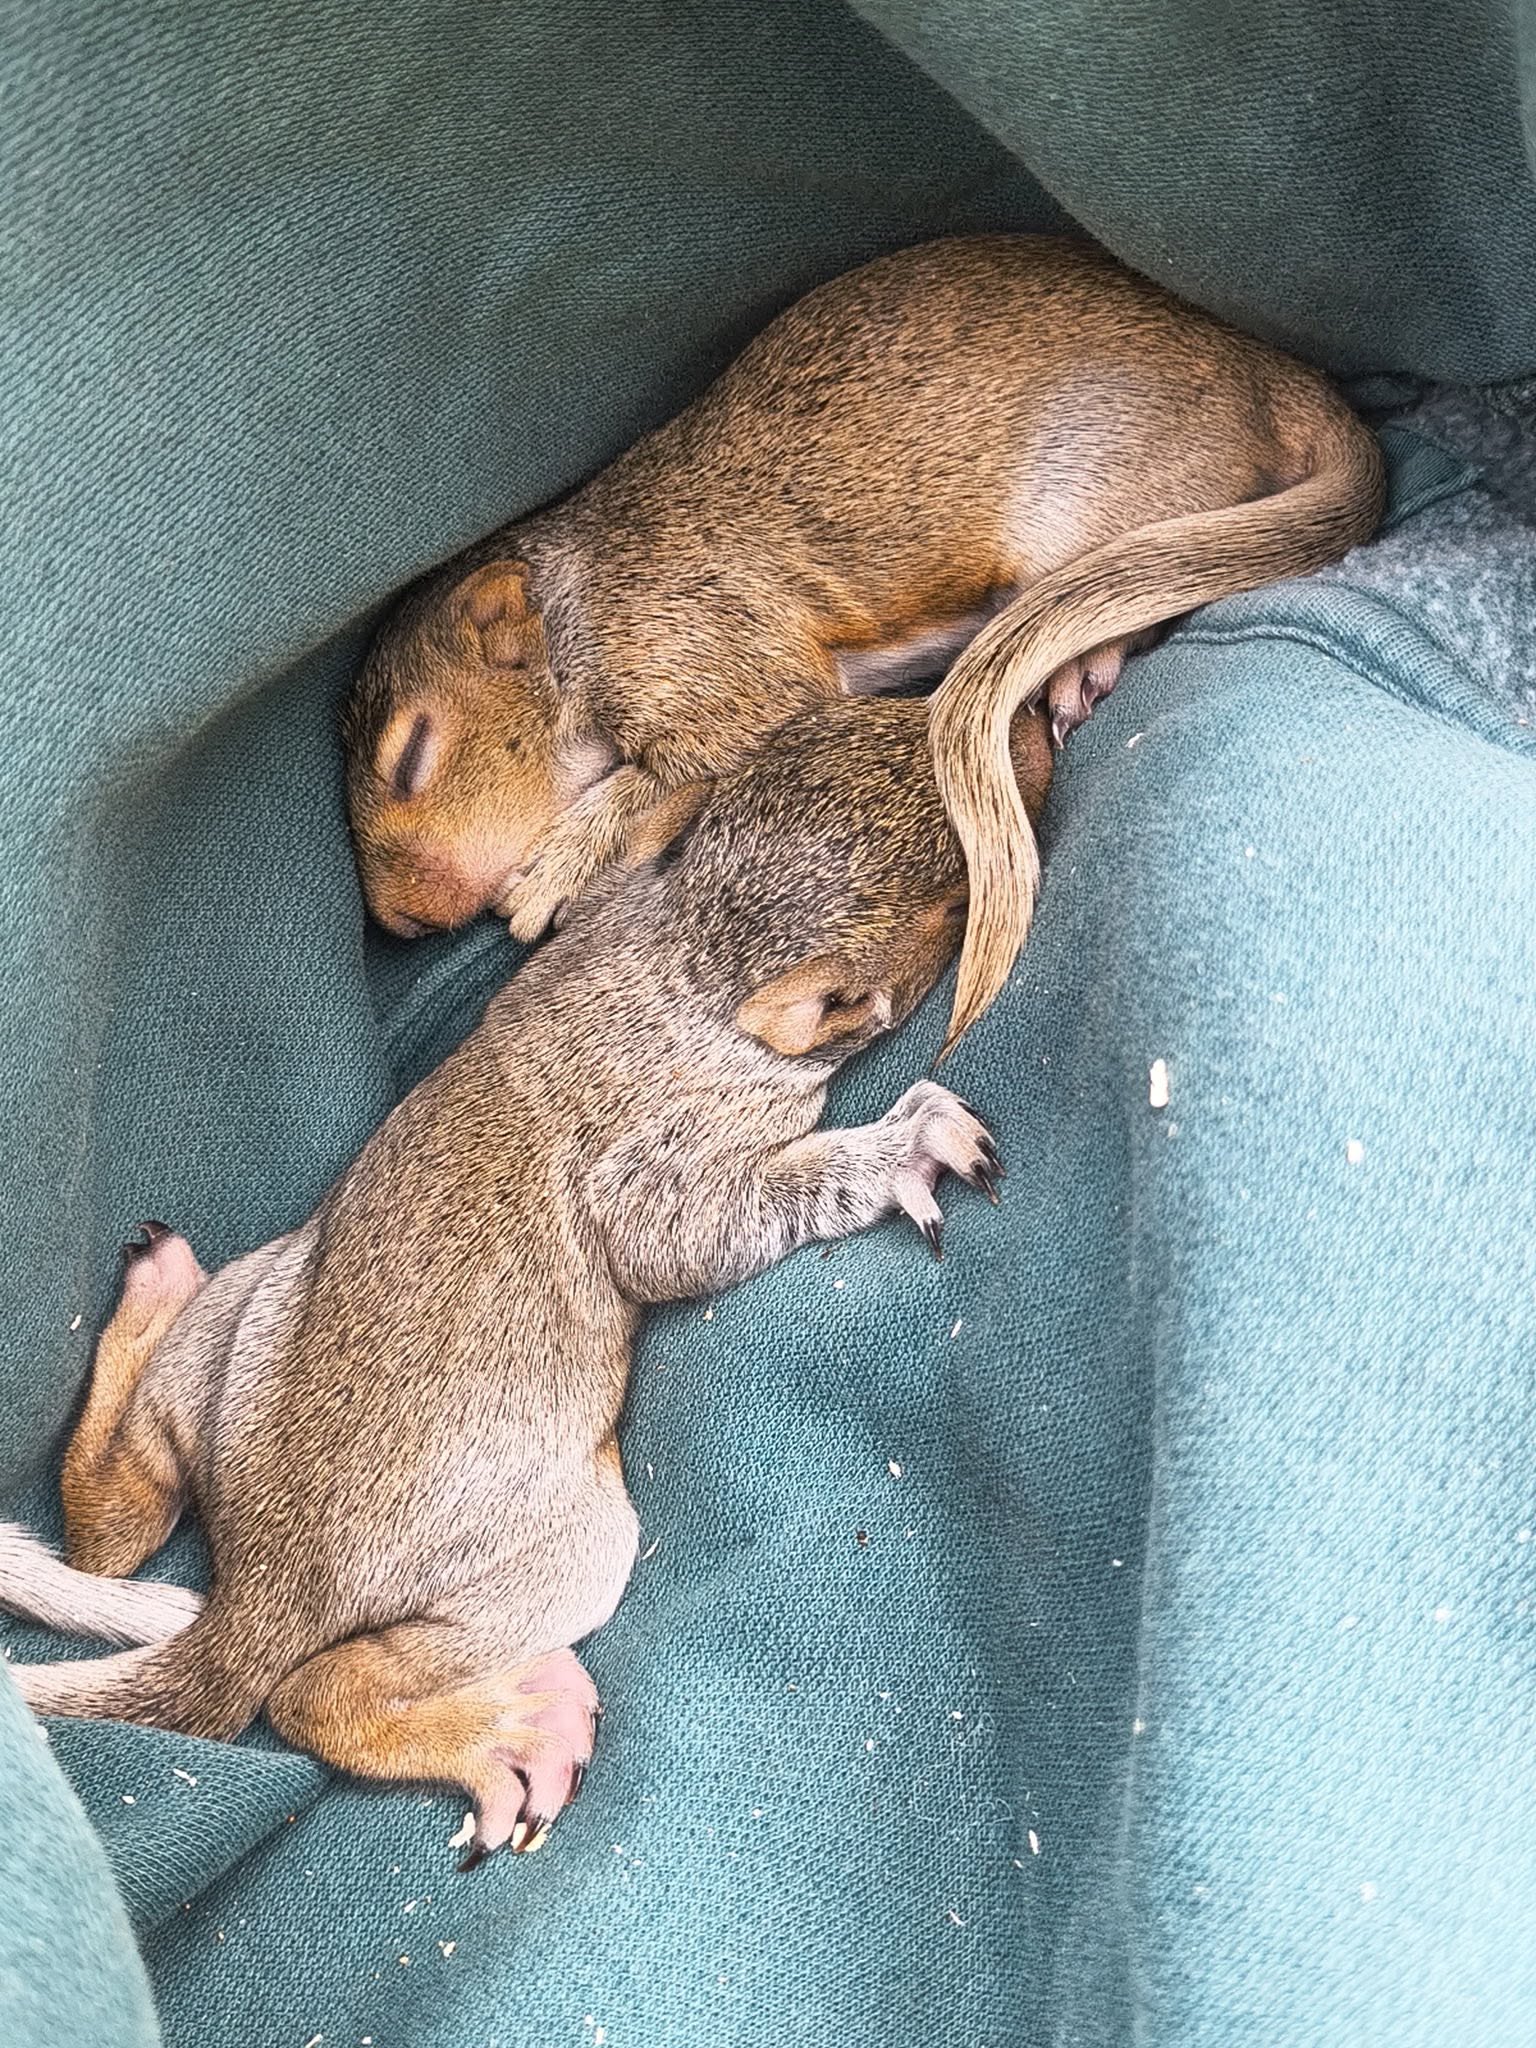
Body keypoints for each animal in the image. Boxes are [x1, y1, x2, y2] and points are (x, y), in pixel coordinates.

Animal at [0, 694, 1050, 1864]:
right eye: (958, 892)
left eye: (867, 715)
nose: (1033, 726)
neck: (684, 947)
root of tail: (259, 1587)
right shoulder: (659, 1157)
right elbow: (675, 1237)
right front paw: (896, 1147)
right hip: (550, 1553)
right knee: (311, 1693)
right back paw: (499, 1731)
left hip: (232, 1334)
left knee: (112, 1522)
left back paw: (154, 1298)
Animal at [343, 232, 1384, 1054]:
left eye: (414, 754)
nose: (401, 923)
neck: (575, 610)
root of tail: (1264, 373)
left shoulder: (700, 644)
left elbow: (685, 761)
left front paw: (556, 867)